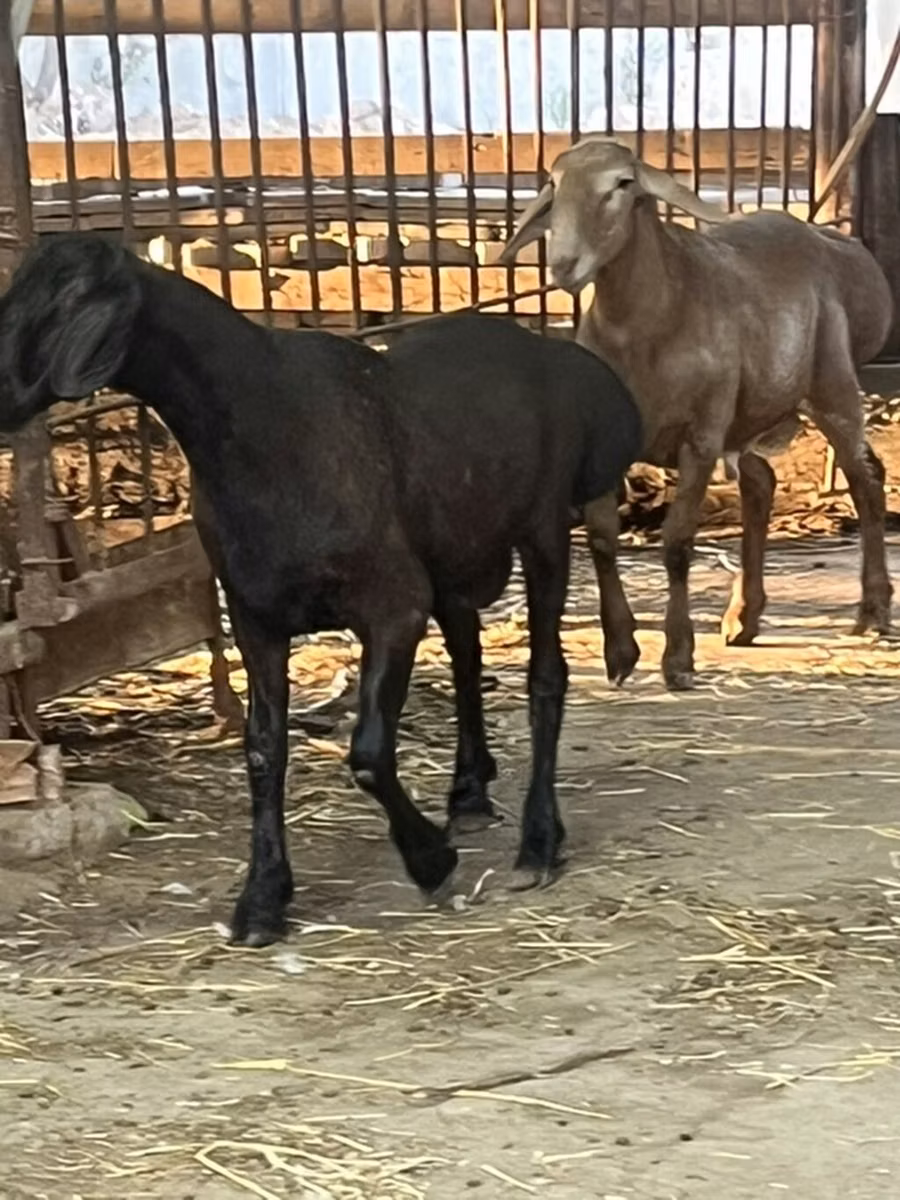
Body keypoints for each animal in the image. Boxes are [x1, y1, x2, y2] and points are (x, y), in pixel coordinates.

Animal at [0, 233, 641, 946]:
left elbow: (368, 751)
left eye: (65, 303)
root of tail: (556, 355)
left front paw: (431, 861)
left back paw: (538, 842)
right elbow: (262, 750)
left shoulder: (393, 607)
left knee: (546, 677)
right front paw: (261, 901)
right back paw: (469, 795)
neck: (267, 428)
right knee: (469, 659)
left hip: (543, 529)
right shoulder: (255, 618)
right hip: (453, 554)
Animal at [500, 137, 895, 690]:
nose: (563, 264)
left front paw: (678, 657)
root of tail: (840, 245)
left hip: (830, 382)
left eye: (623, 183)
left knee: (865, 477)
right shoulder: (608, 445)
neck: (645, 331)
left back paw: (872, 611)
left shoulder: (701, 438)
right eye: (555, 183)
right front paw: (620, 652)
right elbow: (601, 539)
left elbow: (677, 542)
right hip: (750, 412)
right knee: (762, 483)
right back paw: (743, 617)